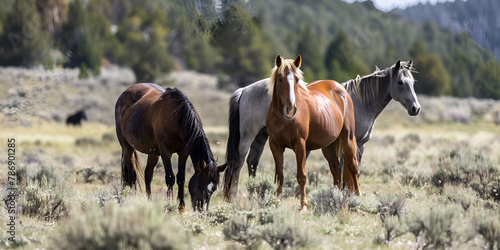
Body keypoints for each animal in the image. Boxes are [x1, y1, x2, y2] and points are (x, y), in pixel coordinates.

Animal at [223, 59, 418, 200]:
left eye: (413, 82)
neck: (359, 101)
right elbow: (346, 168)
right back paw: (232, 195)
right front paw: (347, 193)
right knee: (239, 161)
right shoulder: (352, 142)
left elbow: (347, 168)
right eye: (400, 82)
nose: (416, 108)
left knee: (252, 162)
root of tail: (244, 90)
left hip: (262, 136)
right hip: (248, 136)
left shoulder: (354, 144)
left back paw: (254, 191)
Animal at [266, 54, 360, 211]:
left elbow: (301, 176)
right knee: (335, 169)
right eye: (280, 79)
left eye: (297, 79)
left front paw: (303, 205)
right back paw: (335, 195)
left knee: (353, 166)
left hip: (348, 137)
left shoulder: (300, 145)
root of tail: (340, 88)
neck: (283, 119)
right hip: (328, 145)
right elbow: (280, 175)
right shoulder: (275, 145)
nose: (291, 108)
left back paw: (358, 196)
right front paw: (275, 201)